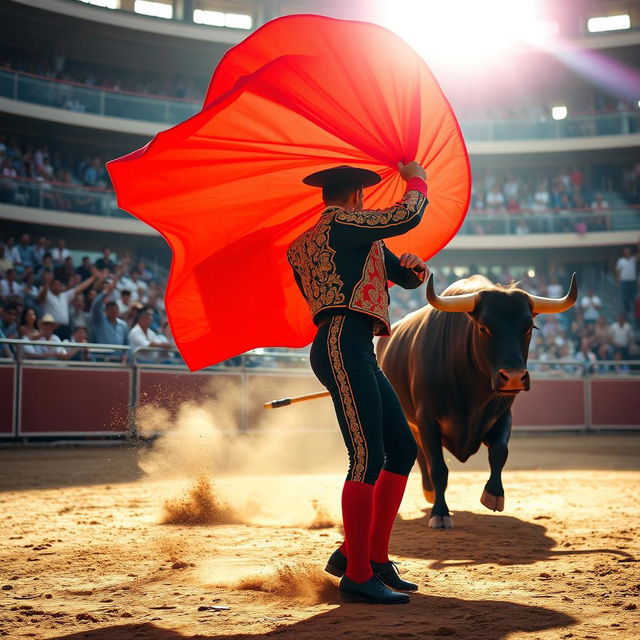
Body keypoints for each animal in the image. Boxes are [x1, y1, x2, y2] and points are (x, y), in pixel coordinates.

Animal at [378, 272, 576, 528]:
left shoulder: (503, 414)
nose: (513, 377)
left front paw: (494, 495)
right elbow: (439, 468)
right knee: (422, 455)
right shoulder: (426, 419)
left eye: (530, 327)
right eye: (484, 327)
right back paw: (430, 492)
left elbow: (500, 451)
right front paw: (440, 512)